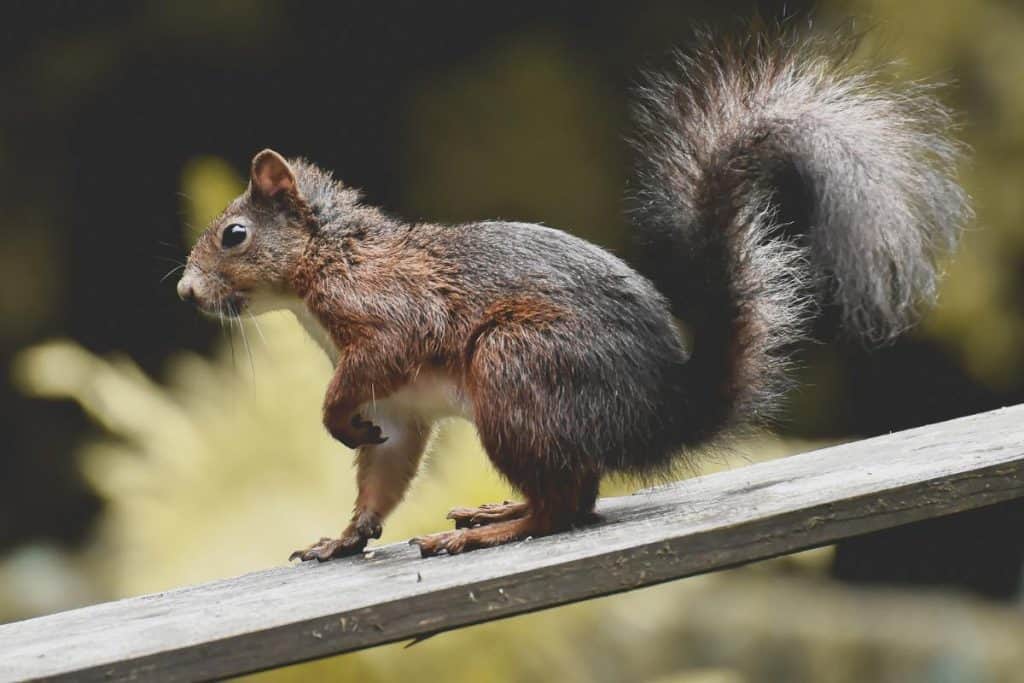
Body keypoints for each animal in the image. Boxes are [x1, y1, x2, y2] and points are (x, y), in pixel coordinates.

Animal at [176, 30, 970, 560]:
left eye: (234, 235)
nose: (186, 289)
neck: (327, 262)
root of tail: (660, 415)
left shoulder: (388, 313)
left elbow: (377, 362)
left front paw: (333, 419)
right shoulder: (397, 411)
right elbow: (382, 476)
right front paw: (342, 539)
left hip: (516, 367)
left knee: (565, 510)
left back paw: (493, 531)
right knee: (573, 496)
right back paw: (493, 511)